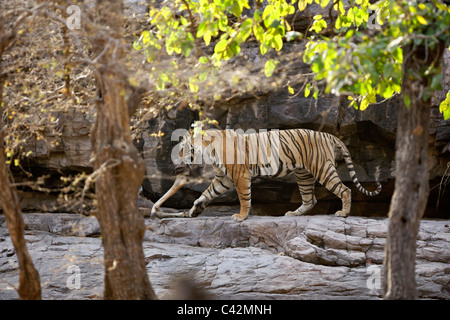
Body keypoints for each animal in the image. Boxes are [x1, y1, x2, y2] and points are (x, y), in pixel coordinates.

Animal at [151, 129, 380, 221]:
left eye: (181, 149)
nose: (174, 166)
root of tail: (328, 134)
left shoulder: (240, 174)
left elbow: (244, 197)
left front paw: (241, 217)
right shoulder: (223, 179)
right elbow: (207, 193)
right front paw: (196, 209)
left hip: (322, 168)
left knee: (345, 189)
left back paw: (344, 213)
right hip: (304, 175)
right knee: (310, 199)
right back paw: (293, 214)